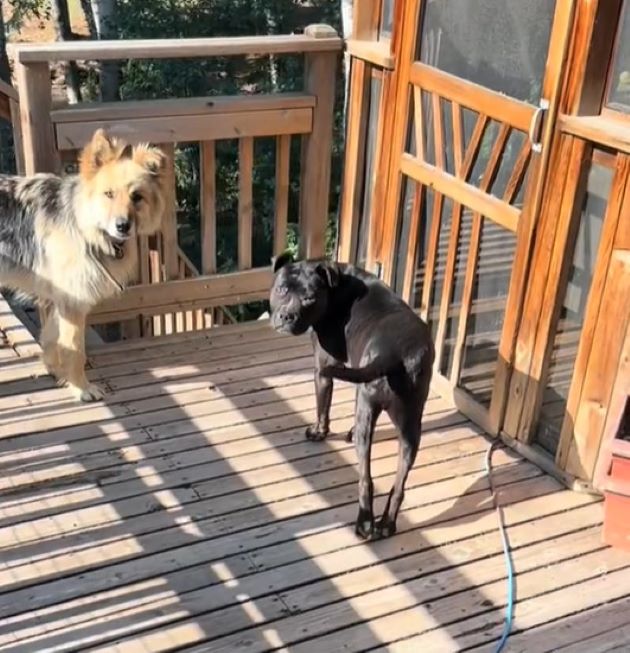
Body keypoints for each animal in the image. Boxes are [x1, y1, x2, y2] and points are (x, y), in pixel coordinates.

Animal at [0, 129, 168, 398]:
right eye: (108, 194)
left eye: (137, 197)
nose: (123, 226)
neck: (85, 225)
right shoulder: (72, 302)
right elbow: (75, 349)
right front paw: (81, 388)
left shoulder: (61, 299)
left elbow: (52, 338)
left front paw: (57, 372)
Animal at [270, 252, 436, 536]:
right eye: (281, 289)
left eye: (309, 298)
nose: (286, 316)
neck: (336, 285)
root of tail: (395, 355)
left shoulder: (323, 366)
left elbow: (322, 407)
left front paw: (318, 432)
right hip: (411, 425)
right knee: (399, 484)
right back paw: (387, 523)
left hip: (368, 409)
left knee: (365, 477)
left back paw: (365, 521)